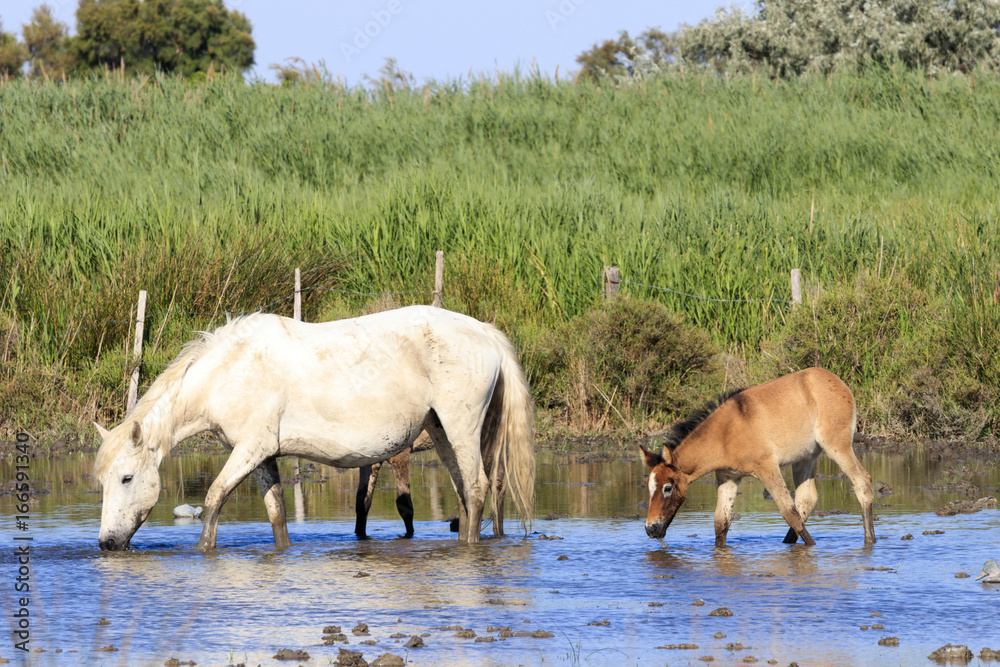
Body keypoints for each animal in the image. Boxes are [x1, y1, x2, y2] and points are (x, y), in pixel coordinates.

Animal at [94, 305, 535, 551]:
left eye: (127, 478)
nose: (107, 543)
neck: (229, 371)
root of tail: (485, 331)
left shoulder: (249, 451)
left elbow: (216, 496)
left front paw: (204, 551)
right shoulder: (262, 456)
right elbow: (276, 514)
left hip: (461, 428)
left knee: (476, 488)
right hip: (441, 430)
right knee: (464, 492)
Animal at [640, 367, 876, 548]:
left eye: (667, 488)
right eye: (649, 488)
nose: (652, 529)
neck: (725, 433)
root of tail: (837, 382)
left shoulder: (767, 468)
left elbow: (788, 511)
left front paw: (813, 546)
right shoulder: (728, 478)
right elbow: (721, 523)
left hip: (837, 446)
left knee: (862, 483)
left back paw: (870, 541)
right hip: (804, 459)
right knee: (807, 499)